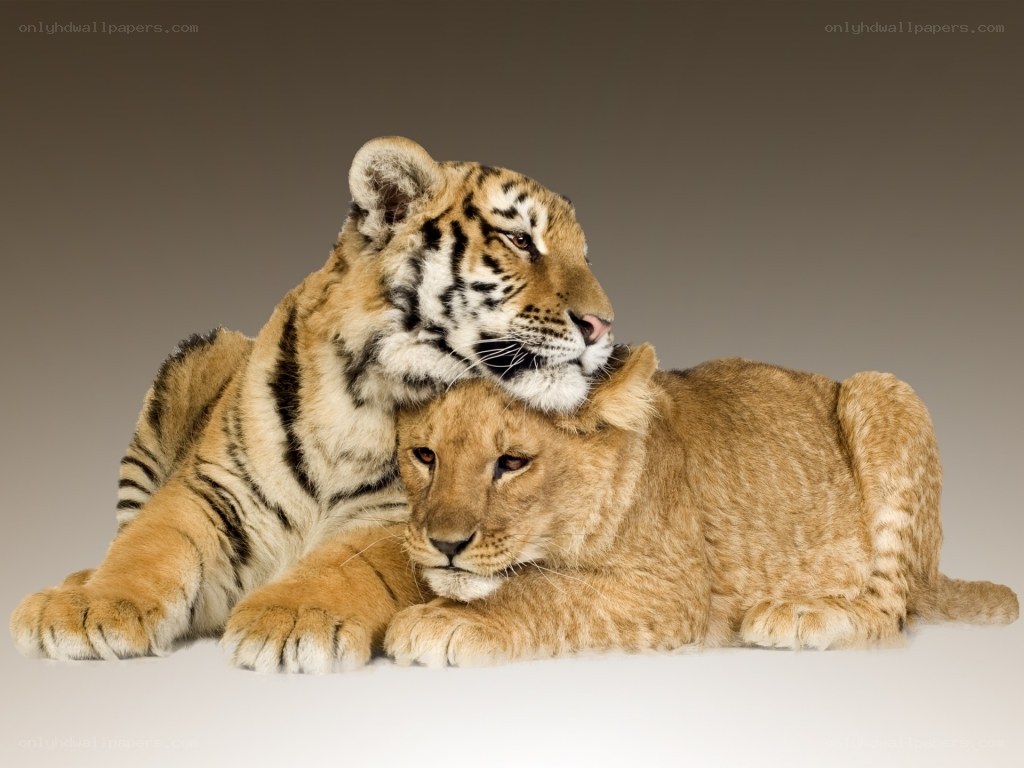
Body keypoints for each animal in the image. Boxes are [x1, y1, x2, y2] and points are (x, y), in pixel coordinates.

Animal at [10, 136, 615, 672]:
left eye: (585, 255)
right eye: (519, 240)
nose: (603, 325)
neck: (362, 394)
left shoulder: (403, 516)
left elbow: (349, 561)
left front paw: (290, 619)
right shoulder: (210, 488)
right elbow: (151, 541)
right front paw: (87, 609)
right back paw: (70, 585)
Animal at [260, 343, 1017, 668]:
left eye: (512, 463)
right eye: (424, 456)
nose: (445, 544)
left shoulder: (674, 589)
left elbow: (547, 591)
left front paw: (445, 620)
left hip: (881, 389)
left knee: (892, 611)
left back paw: (802, 616)